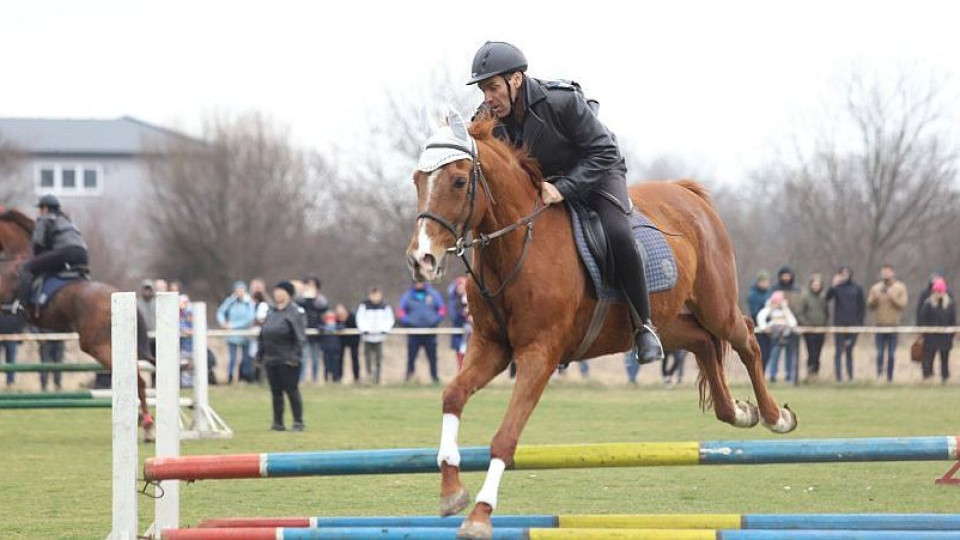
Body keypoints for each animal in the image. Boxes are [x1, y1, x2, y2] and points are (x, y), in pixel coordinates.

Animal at [408, 118, 800, 540]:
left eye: (459, 181)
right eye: (417, 180)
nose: (421, 259)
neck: (518, 245)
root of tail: (688, 192)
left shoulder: (539, 354)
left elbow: (505, 437)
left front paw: (480, 515)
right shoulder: (492, 347)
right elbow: (453, 395)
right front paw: (451, 491)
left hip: (717, 307)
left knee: (746, 340)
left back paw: (775, 416)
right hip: (666, 323)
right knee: (703, 345)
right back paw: (738, 411)